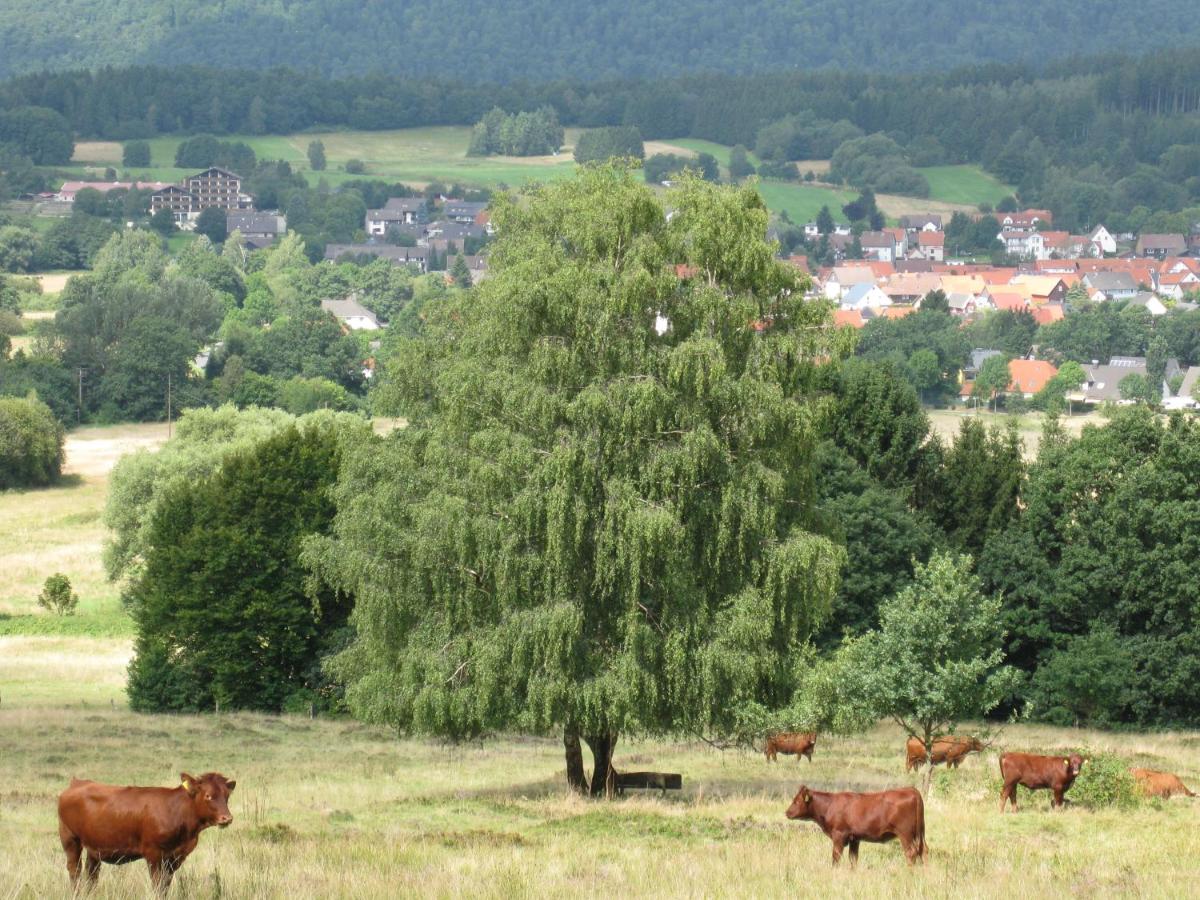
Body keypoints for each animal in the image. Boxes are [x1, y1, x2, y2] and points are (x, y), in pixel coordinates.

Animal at [56, 777, 234, 897]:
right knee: (75, 870)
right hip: (70, 839)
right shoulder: (153, 854)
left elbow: (165, 885)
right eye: (208, 795)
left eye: (227, 796)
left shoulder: (174, 857)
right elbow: (157, 885)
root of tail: (77, 782)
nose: (227, 818)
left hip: (94, 847)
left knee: (92, 874)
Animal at [787, 782, 926, 868]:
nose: (787, 812)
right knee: (923, 850)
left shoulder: (839, 835)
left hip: (905, 833)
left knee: (911, 853)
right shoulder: (854, 838)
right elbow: (853, 859)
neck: (829, 806)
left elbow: (836, 857)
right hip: (920, 833)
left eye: (796, 801)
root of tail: (911, 789)